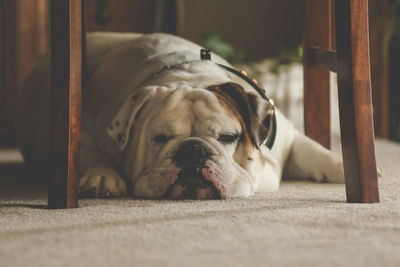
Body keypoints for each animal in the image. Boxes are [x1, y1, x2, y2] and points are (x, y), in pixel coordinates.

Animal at [17, 31, 346, 199]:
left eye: (228, 137)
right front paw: (102, 177)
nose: (192, 150)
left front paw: (343, 167)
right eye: (159, 138)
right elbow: (87, 154)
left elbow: (315, 150)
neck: (193, 76)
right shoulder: (84, 127)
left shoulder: (287, 138)